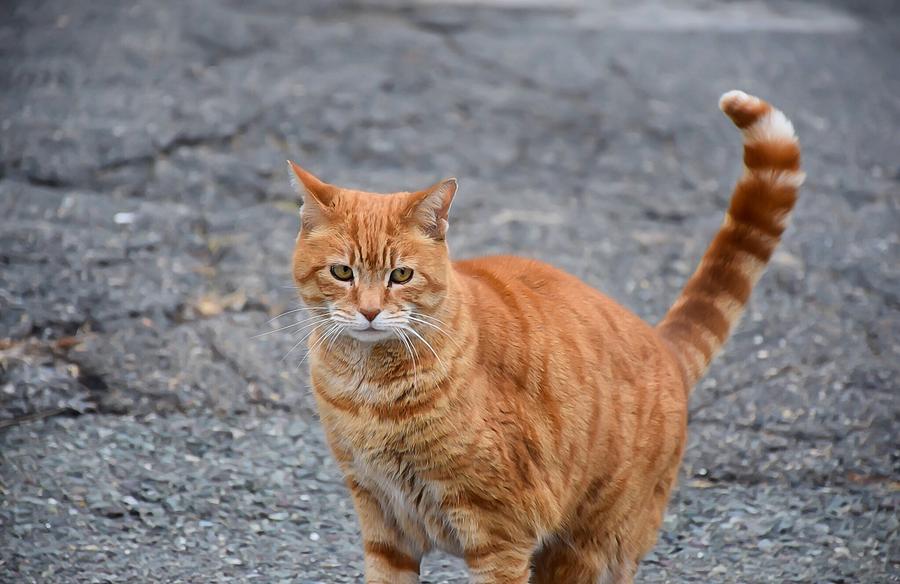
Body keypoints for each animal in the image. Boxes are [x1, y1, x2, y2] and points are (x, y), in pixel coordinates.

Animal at [286, 89, 800, 580]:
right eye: (342, 272)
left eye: (401, 275)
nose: (370, 312)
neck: (368, 389)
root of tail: (661, 343)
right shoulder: (383, 522)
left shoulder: (499, 532)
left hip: (586, 548)